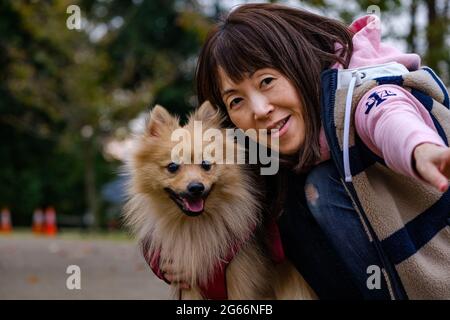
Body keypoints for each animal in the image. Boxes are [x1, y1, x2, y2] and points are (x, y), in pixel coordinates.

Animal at [124, 100, 316, 300]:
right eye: (172, 167)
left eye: (206, 165)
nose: (196, 187)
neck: (195, 225)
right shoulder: (189, 284)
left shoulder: (241, 281)